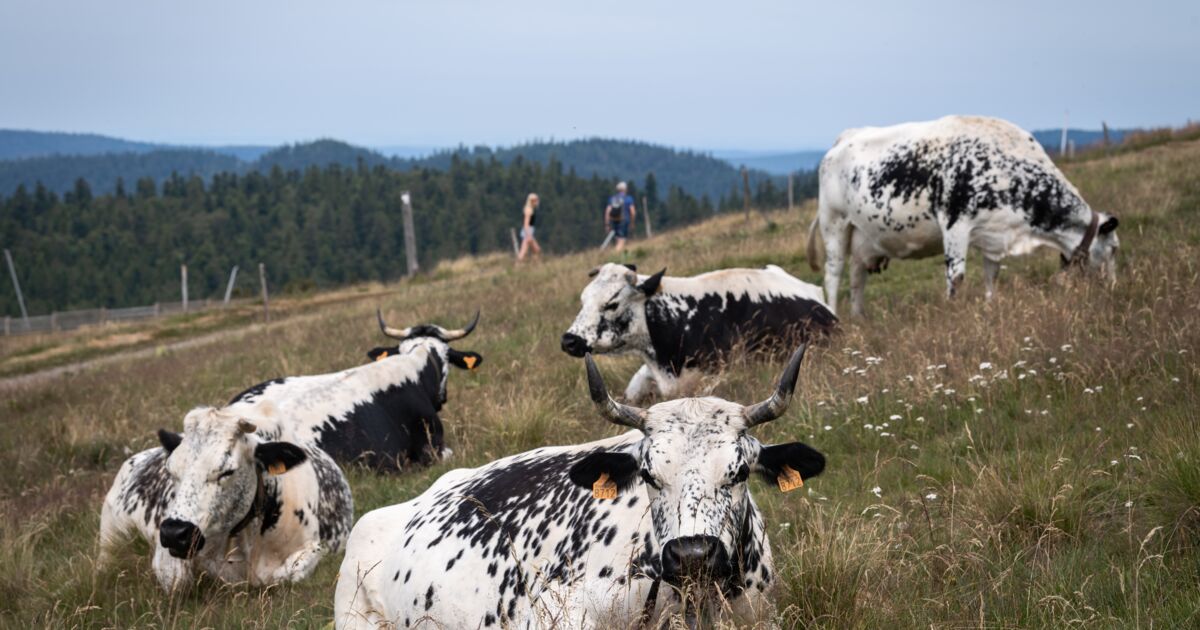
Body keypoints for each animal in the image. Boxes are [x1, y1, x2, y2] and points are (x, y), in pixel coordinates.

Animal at [98, 405, 350, 592]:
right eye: (171, 470)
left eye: (227, 471)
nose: (174, 533)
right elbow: (177, 579)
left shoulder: (314, 547)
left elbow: (288, 573)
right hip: (110, 537)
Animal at [811, 114, 1118, 314]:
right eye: (1113, 249)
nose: (1114, 287)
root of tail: (846, 137)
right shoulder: (955, 223)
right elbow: (956, 276)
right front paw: (953, 313)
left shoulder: (994, 233)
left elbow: (992, 273)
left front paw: (991, 306)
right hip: (834, 223)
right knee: (834, 274)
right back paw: (836, 315)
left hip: (863, 235)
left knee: (857, 277)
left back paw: (859, 318)